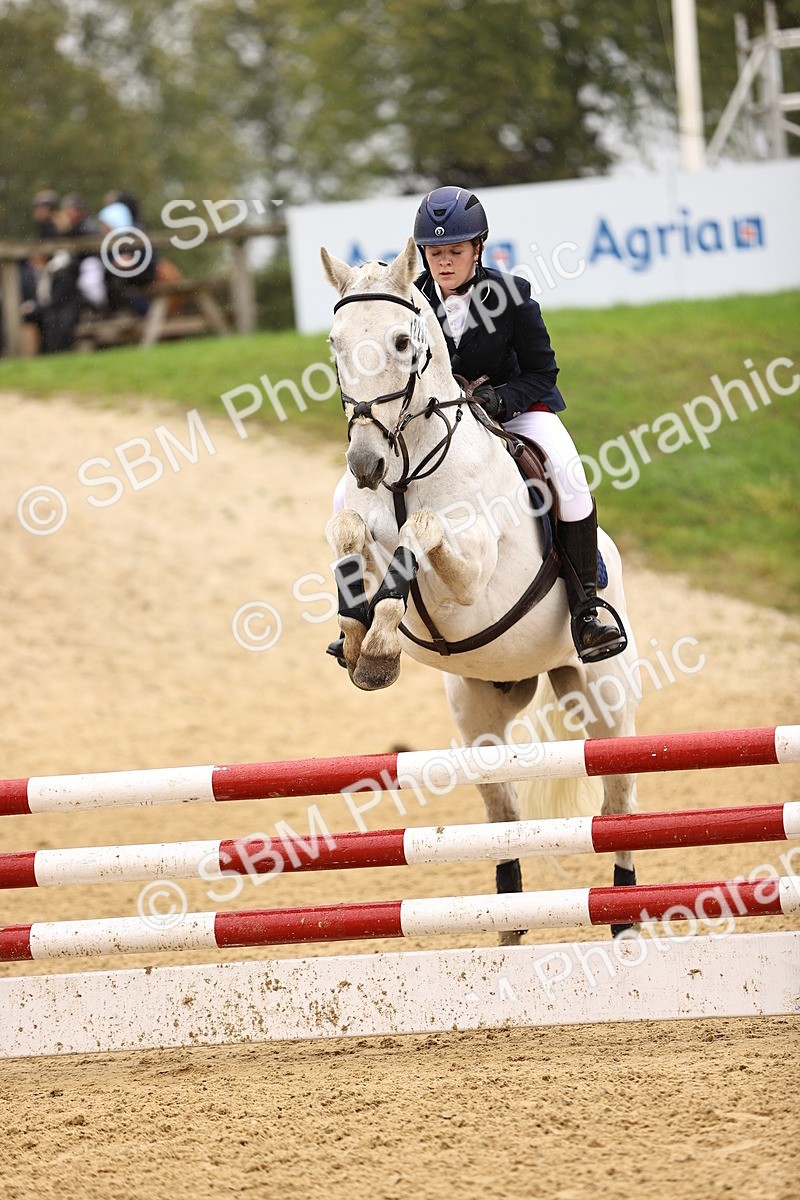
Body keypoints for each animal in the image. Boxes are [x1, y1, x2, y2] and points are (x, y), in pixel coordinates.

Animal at [321, 236, 641, 944]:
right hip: (480, 709)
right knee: (502, 811)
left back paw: (625, 920)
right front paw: (356, 638)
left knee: (620, 795)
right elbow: (349, 530)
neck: (406, 465)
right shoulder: (359, 521)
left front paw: (378, 646)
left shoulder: (467, 583)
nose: (364, 464)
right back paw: (508, 923)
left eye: (402, 342)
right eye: (334, 343)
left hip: (606, 697)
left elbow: (422, 533)